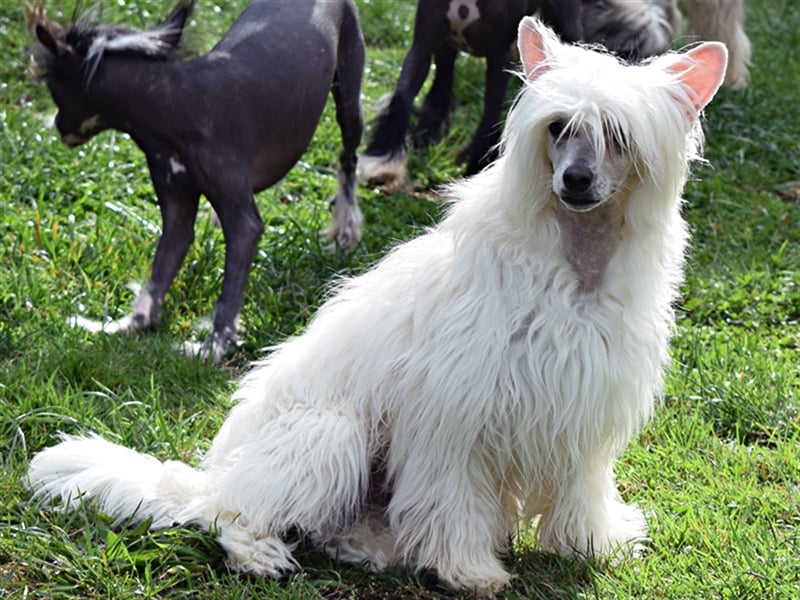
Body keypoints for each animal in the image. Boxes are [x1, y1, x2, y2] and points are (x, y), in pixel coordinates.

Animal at [25, 17, 728, 596]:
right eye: (559, 128)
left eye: (618, 135)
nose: (574, 180)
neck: (572, 261)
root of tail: (217, 474)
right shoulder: (456, 417)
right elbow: (453, 501)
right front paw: (467, 570)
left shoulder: (582, 407)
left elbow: (581, 489)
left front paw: (589, 545)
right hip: (330, 434)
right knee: (226, 515)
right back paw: (260, 554)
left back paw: (369, 547)